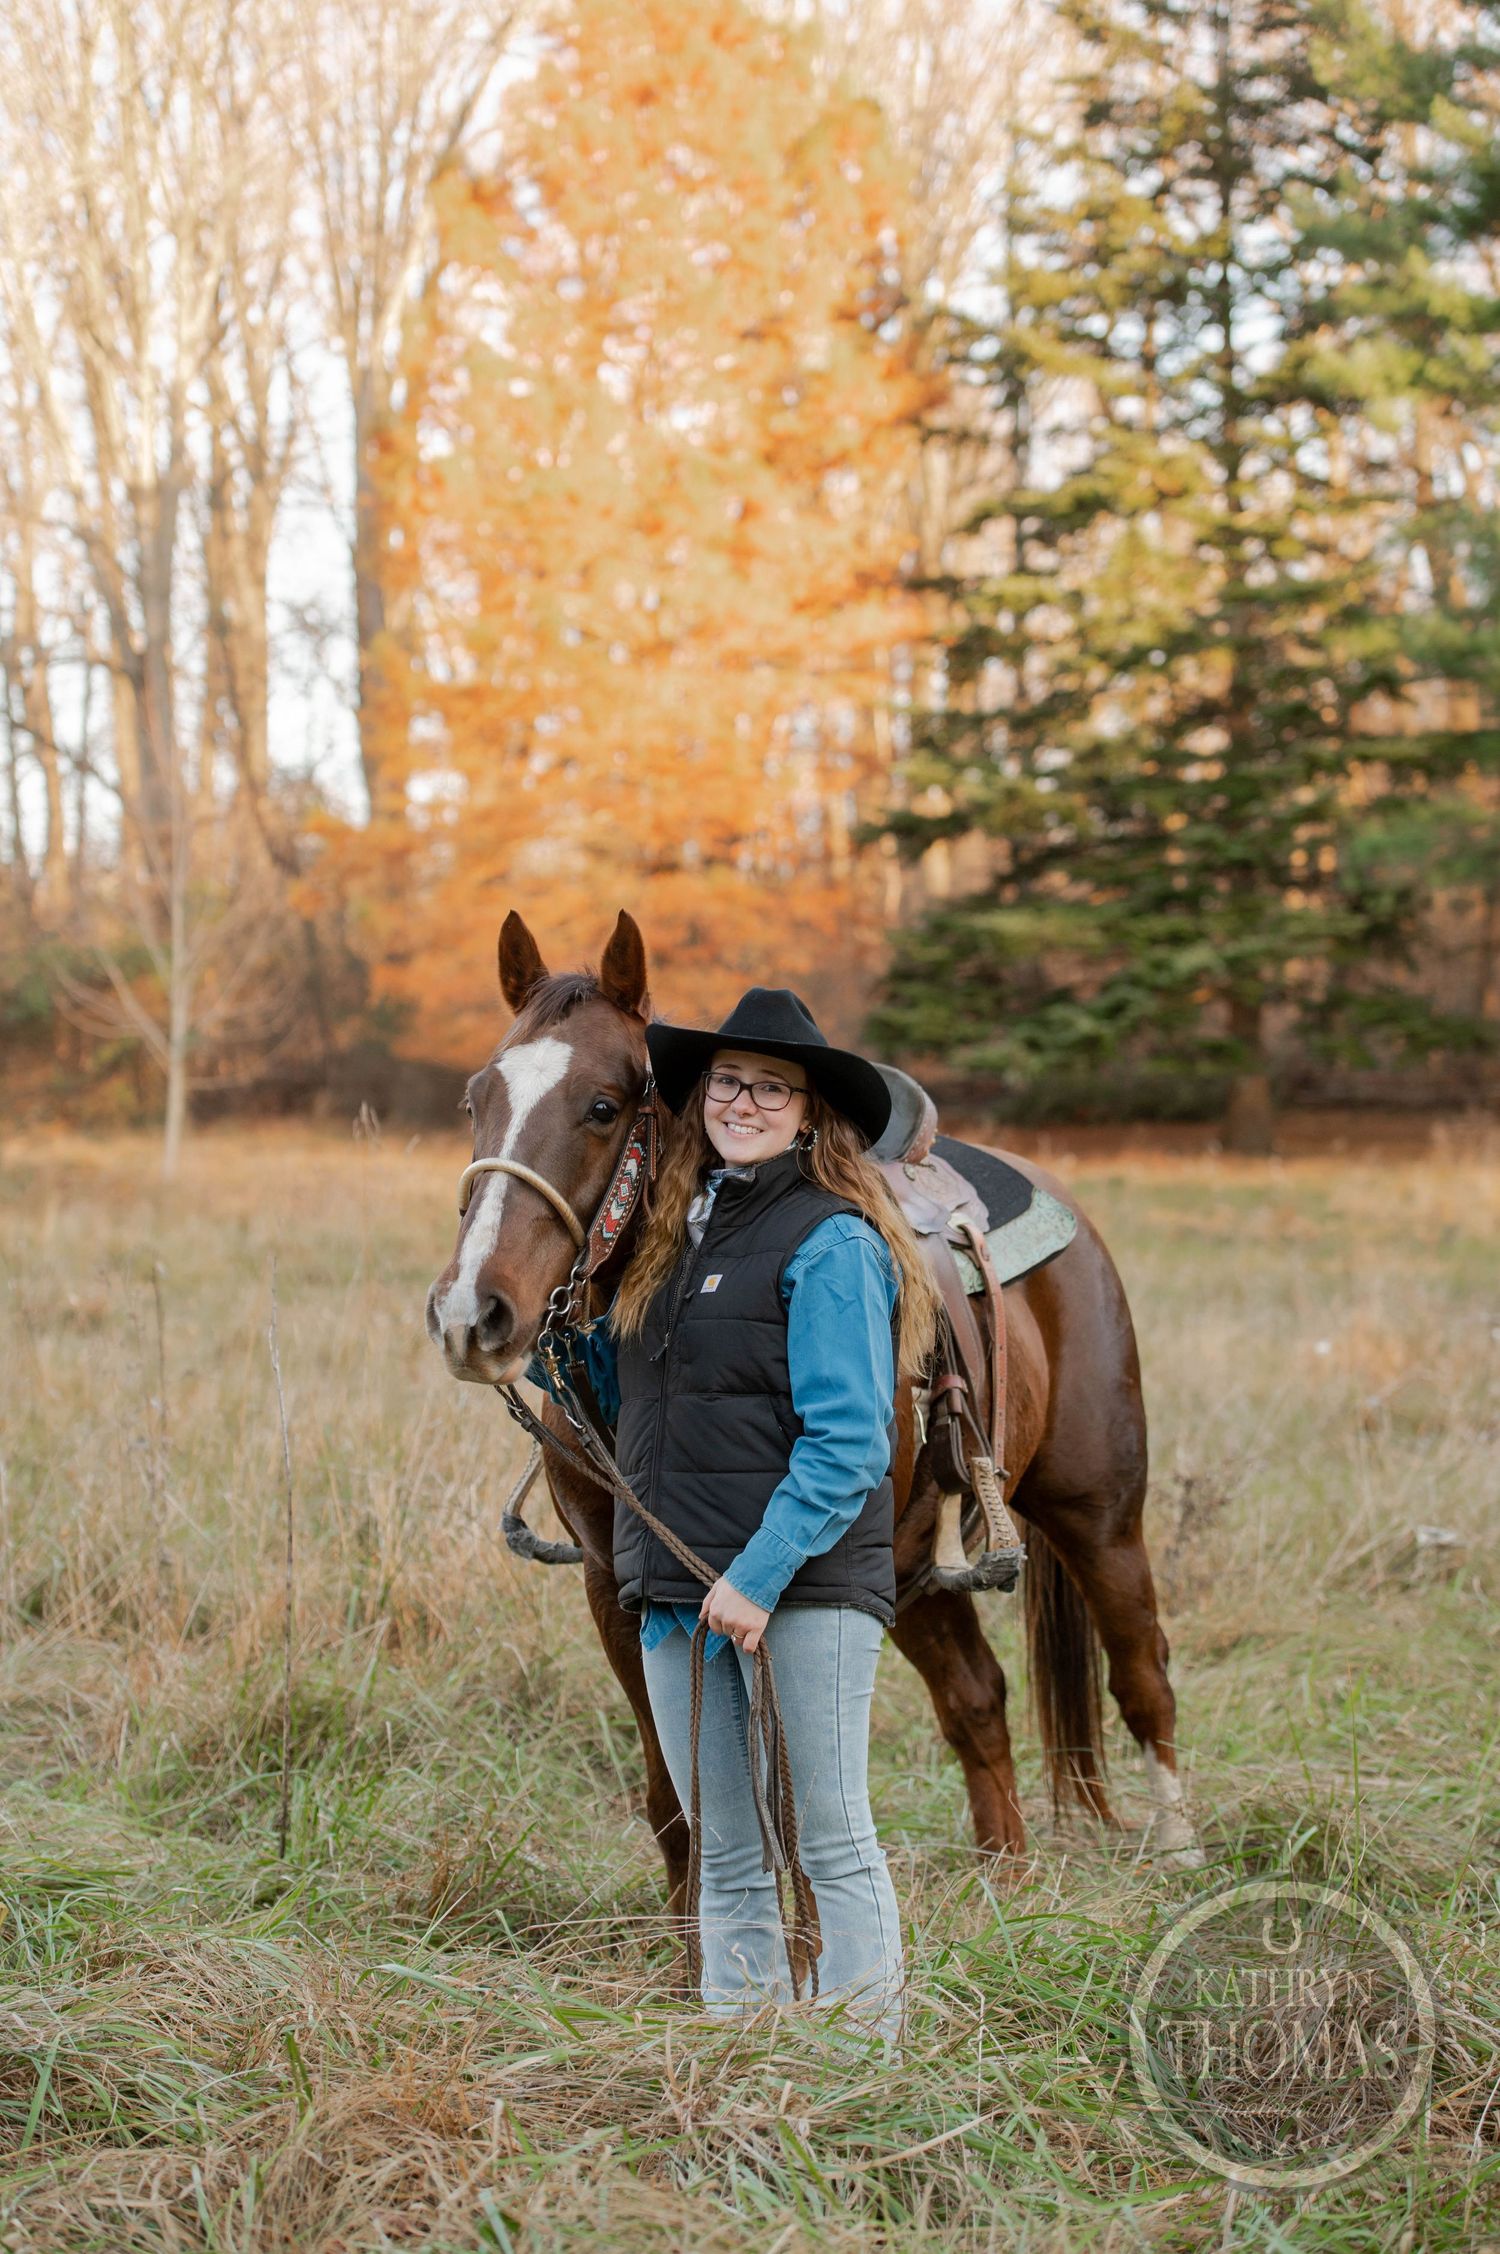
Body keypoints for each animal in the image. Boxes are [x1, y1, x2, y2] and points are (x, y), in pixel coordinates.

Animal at [425, 909, 1204, 1919]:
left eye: (601, 1106)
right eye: (476, 1099)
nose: (469, 1313)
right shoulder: (616, 1583)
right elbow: (675, 1795)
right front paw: (685, 1952)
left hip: (1098, 1515)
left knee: (1143, 1675)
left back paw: (1181, 1855)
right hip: (903, 1566)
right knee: (978, 1699)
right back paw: (1006, 1880)